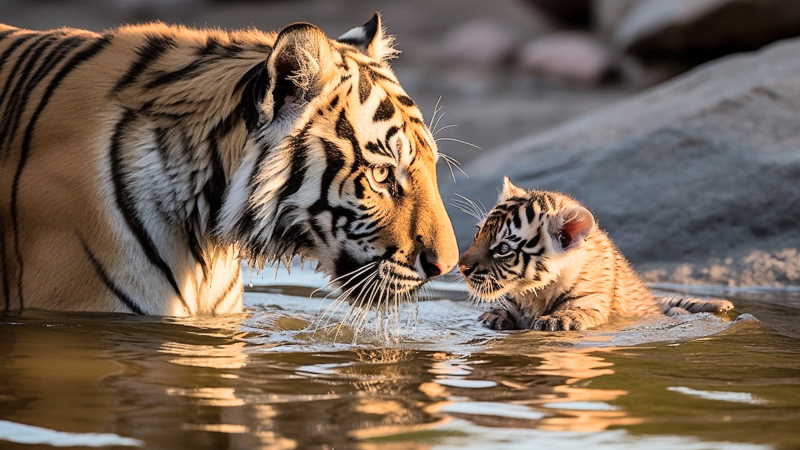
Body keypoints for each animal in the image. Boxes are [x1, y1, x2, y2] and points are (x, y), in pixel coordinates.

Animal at [458, 177, 733, 331]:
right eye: (478, 233)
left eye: (503, 248)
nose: (462, 267)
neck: (534, 293)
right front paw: (493, 317)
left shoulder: (592, 300)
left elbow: (577, 310)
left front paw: (556, 320)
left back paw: (721, 304)